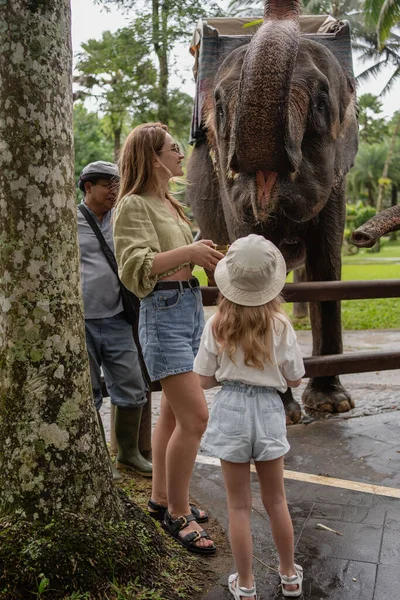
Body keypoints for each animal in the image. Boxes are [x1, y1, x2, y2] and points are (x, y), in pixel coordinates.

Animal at [187, 0, 360, 424]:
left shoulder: (338, 182)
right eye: (219, 106)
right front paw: (282, 411)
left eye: (320, 103)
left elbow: (326, 267)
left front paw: (332, 404)